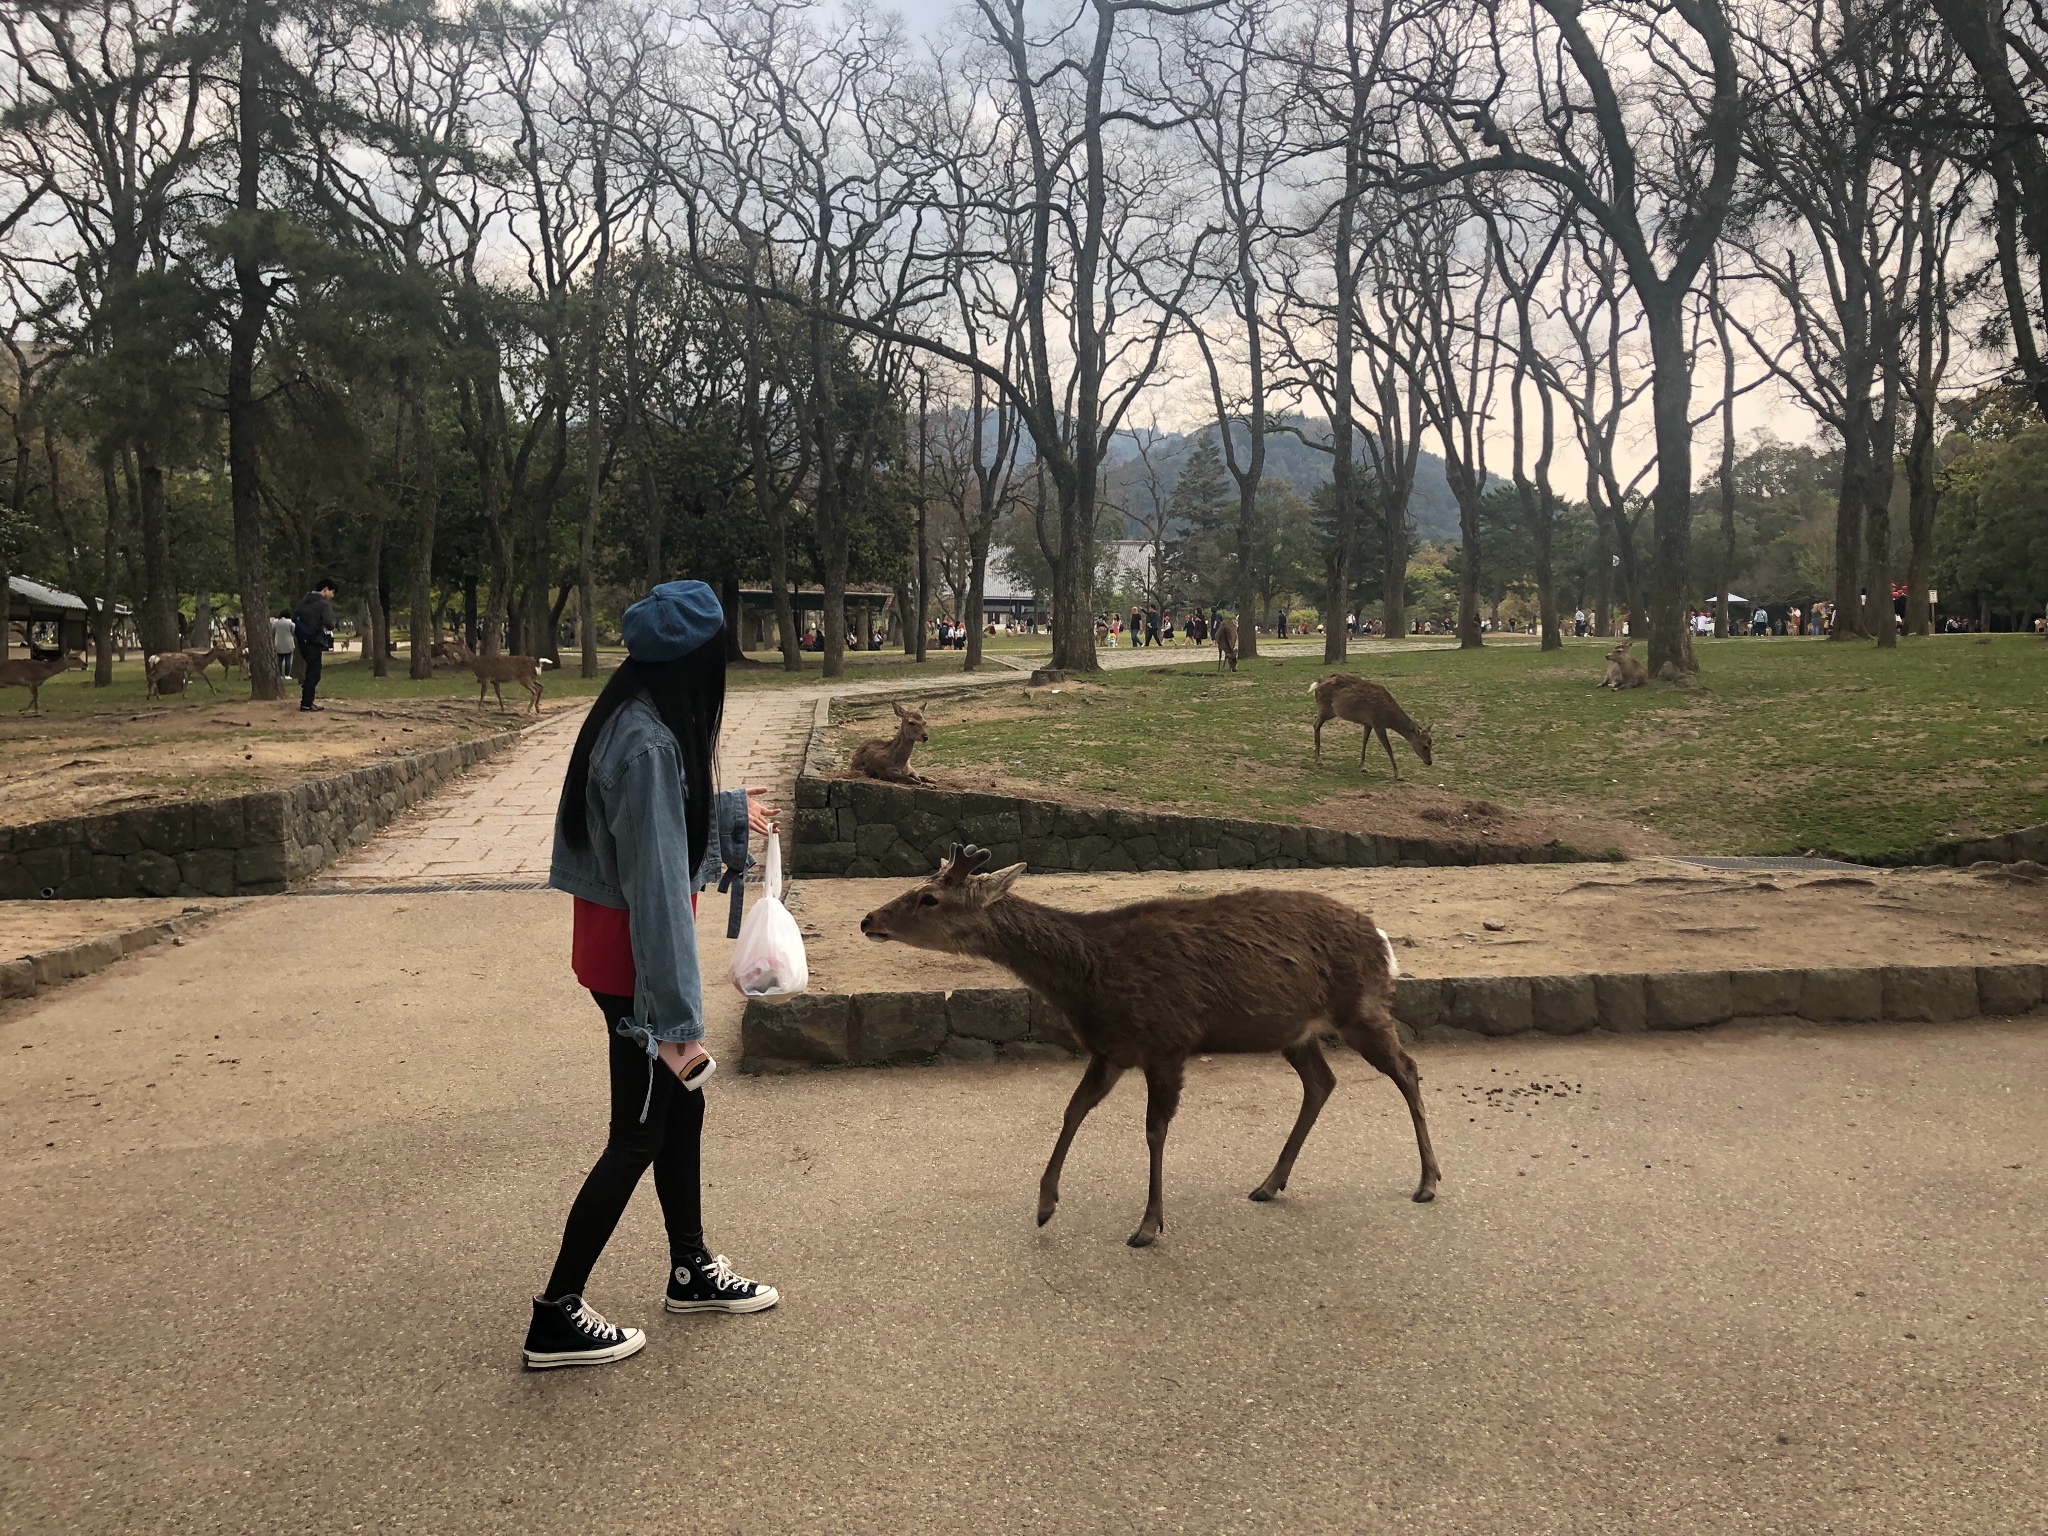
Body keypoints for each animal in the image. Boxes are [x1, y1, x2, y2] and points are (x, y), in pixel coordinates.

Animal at [864, 843, 1441, 1253]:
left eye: (929, 898)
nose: (869, 920)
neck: (1089, 978)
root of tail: (1382, 937)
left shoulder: (1166, 1040)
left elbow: (1153, 1131)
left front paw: (1147, 1225)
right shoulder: (1111, 1049)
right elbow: (1072, 1110)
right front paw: (1045, 1206)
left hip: (1361, 1008)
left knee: (1407, 1068)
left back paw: (1428, 1182)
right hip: (1294, 1032)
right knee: (1323, 1081)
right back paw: (1269, 1182)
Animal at [1310, 671, 1441, 774]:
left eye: (1432, 744)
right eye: (1425, 746)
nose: (1429, 762)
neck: (1389, 718)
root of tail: (1318, 684)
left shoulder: (1368, 723)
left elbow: (1364, 742)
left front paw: (1362, 767)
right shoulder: (1378, 723)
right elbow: (1388, 748)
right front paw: (1398, 775)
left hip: (1332, 711)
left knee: (1315, 723)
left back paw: (1316, 757)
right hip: (1325, 707)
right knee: (1316, 725)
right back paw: (1319, 760)